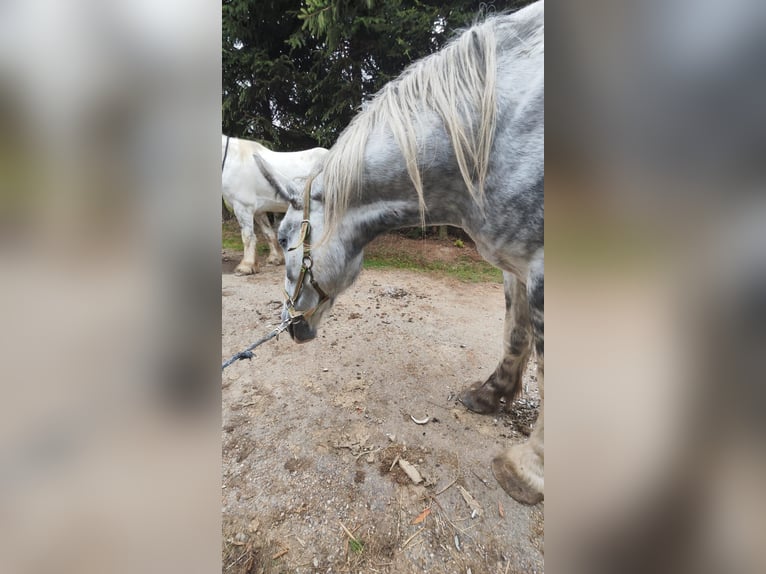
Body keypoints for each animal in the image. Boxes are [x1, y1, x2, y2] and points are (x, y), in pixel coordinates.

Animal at [221, 135, 328, 275]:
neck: (232, 159)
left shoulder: (243, 207)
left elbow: (247, 236)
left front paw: (245, 267)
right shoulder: (258, 211)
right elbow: (268, 233)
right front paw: (275, 259)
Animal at [253, 1, 544, 504]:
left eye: (288, 236)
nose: (289, 326)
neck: (488, 133)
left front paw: (528, 472)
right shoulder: (517, 265)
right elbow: (514, 332)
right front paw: (491, 395)